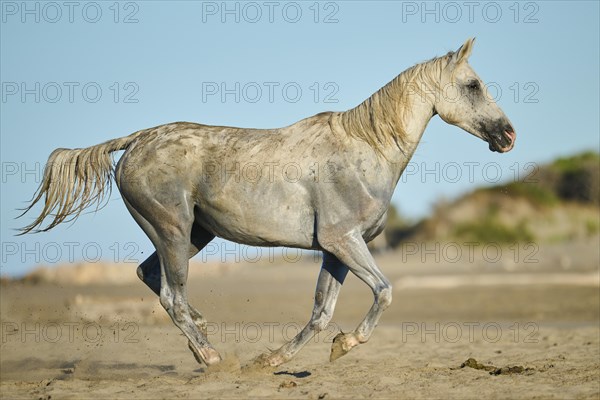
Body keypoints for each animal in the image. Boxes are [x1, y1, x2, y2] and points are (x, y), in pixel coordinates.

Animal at [19, 39, 516, 368]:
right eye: (472, 85)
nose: (508, 135)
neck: (366, 149)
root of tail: (136, 141)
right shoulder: (344, 240)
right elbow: (384, 290)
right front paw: (346, 343)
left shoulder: (334, 250)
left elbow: (321, 313)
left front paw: (277, 359)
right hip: (173, 232)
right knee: (171, 295)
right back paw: (209, 354)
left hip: (194, 234)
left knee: (152, 278)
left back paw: (202, 335)